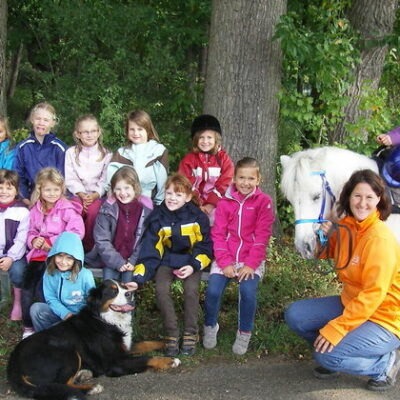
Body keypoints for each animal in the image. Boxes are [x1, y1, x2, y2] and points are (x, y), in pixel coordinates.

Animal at [7, 280, 180, 400]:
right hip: (67, 352)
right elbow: (146, 358)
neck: (106, 320)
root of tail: (13, 362)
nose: (130, 293)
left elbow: (148, 343)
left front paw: (168, 343)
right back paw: (91, 388)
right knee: (58, 384)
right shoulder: (115, 362)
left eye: (124, 286)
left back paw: (83, 375)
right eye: (113, 292)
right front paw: (169, 361)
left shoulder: (125, 347)